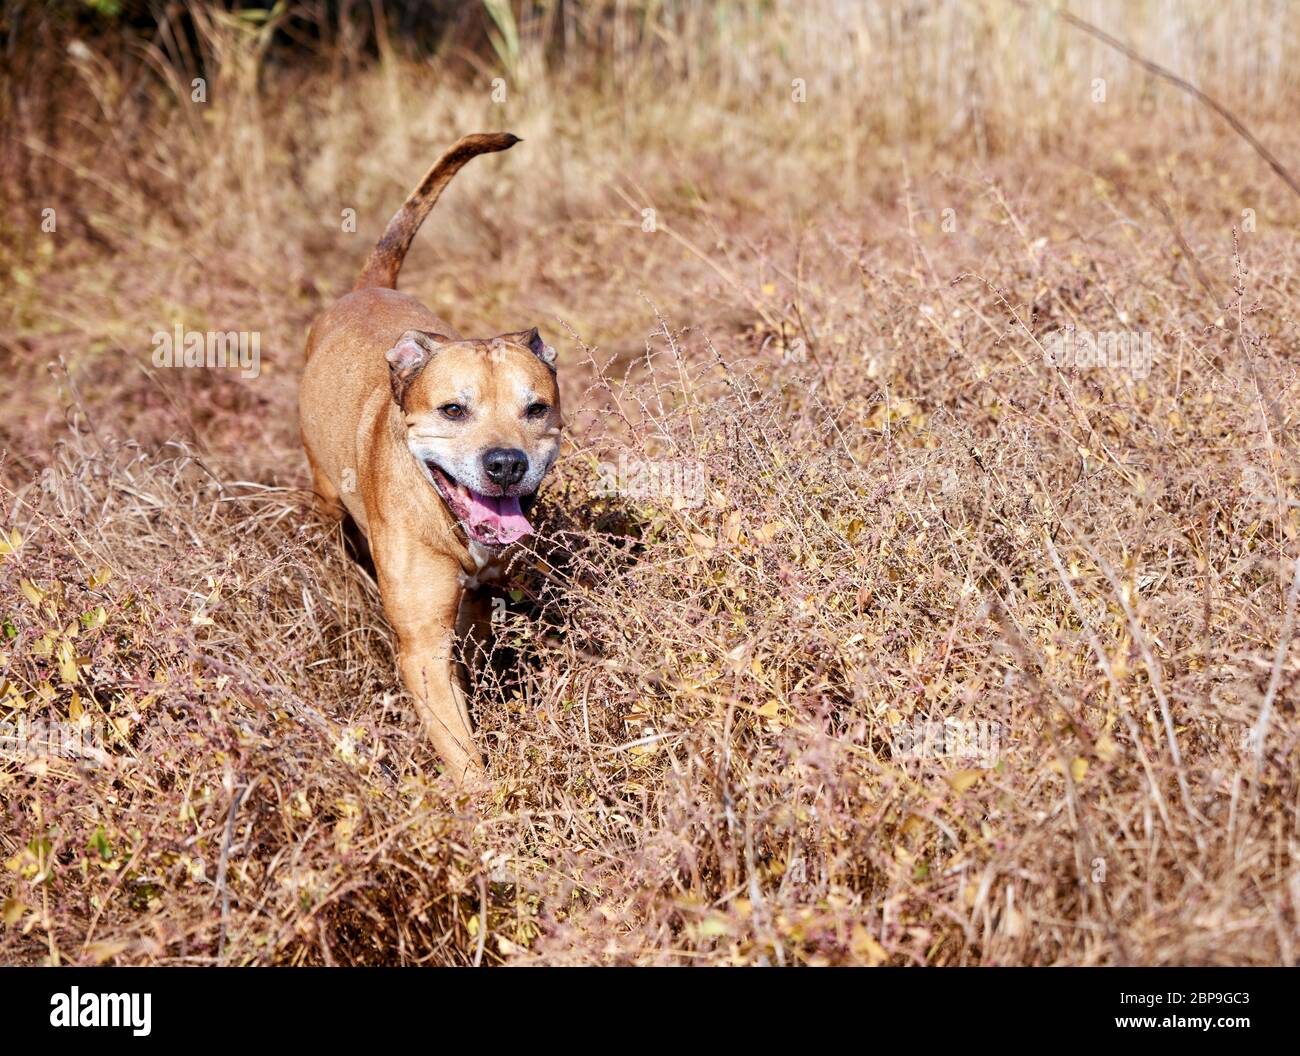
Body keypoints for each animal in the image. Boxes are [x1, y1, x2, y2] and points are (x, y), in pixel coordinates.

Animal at [301, 133, 561, 785]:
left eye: (535, 408)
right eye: (453, 410)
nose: (505, 464)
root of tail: (368, 285)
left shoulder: (478, 605)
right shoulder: (423, 649)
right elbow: (463, 757)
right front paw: (489, 805)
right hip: (325, 498)